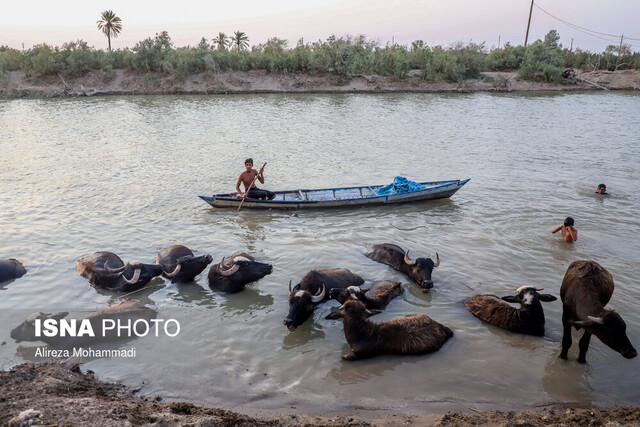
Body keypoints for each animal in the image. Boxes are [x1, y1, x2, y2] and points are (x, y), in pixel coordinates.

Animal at [324, 300, 456, 362]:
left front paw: (346, 356)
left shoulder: (367, 351)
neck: (363, 334)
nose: (349, 304)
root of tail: (441, 326)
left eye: (347, 308)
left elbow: (354, 356)